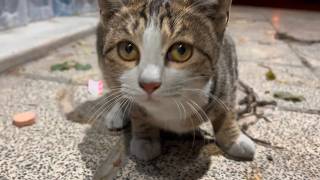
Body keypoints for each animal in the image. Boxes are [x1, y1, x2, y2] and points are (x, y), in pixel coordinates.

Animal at [95, 0, 255, 160]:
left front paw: (234, 138)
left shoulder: (227, 67)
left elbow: (227, 108)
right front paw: (145, 138)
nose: (149, 84)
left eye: (181, 50)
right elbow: (137, 111)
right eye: (127, 49)